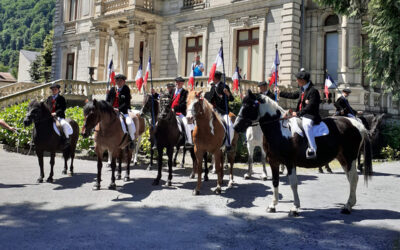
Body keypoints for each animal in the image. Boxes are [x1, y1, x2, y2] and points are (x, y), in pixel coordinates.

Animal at [233, 91, 374, 216]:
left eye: (249, 105)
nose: (235, 127)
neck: (279, 129)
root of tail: (356, 123)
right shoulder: (274, 162)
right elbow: (275, 182)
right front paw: (273, 206)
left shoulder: (289, 162)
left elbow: (293, 183)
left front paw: (295, 208)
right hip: (342, 158)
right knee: (350, 178)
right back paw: (349, 204)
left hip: (350, 157)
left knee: (353, 178)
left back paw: (347, 207)